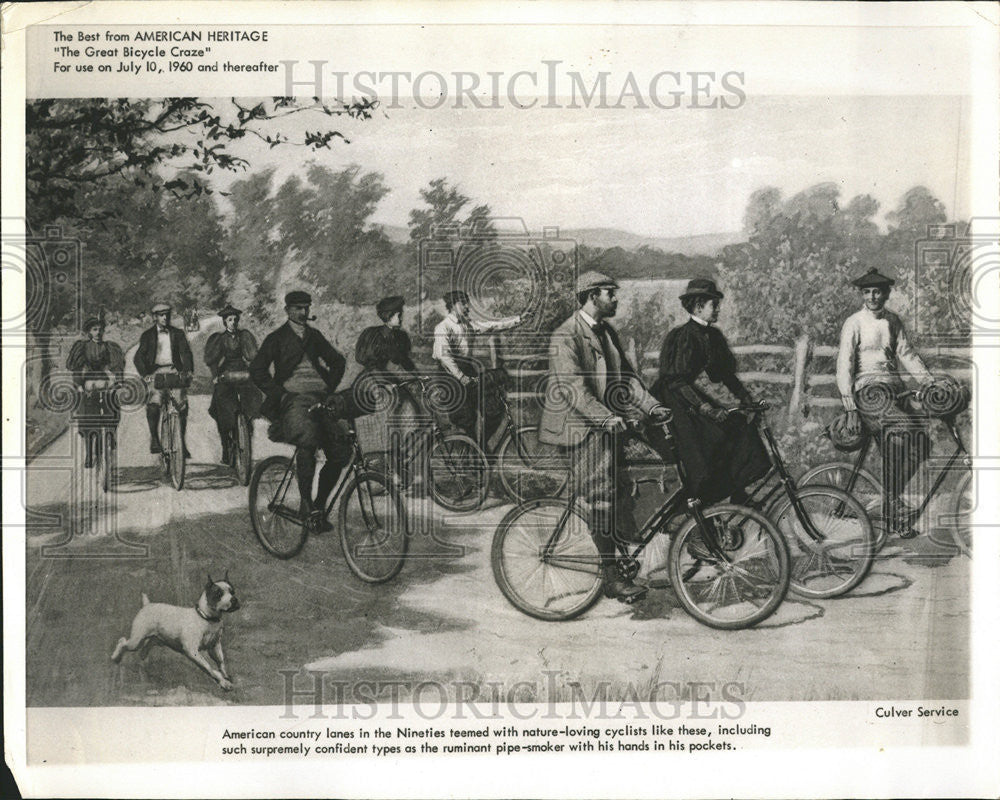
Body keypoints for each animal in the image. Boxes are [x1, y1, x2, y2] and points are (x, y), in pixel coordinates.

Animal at [112, 572, 242, 692]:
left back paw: (143, 674)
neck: (206, 618)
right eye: (218, 594)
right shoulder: (192, 651)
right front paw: (224, 682)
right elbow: (210, 668)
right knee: (122, 641)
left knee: (142, 653)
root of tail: (147, 605)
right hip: (136, 640)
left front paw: (226, 677)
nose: (234, 600)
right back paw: (115, 658)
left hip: (153, 641)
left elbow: (221, 663)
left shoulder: (215, 647)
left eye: (232, 592)